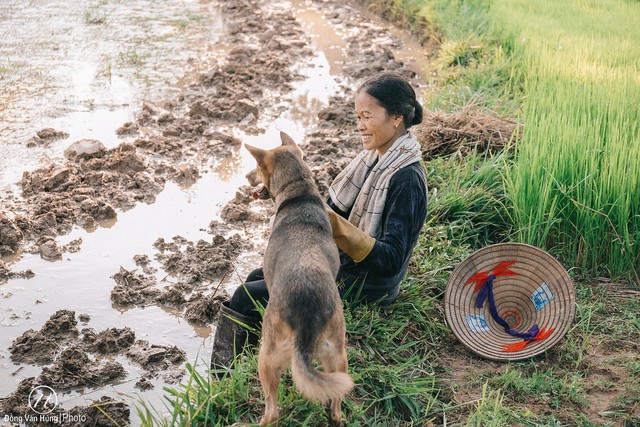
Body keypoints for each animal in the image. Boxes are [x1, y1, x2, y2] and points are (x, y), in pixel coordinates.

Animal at [246, 132, 356, 426]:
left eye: (257, 167)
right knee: (337, 401)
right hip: (338, 357)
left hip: (267, 356)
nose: (247, 177)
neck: (300, 192)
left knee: (272, 409)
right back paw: (335, 415)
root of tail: (307, 317)